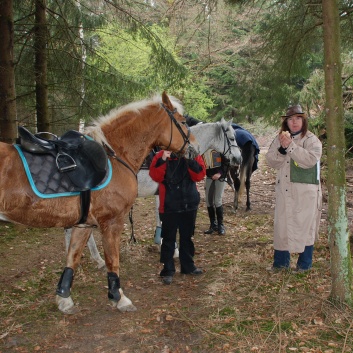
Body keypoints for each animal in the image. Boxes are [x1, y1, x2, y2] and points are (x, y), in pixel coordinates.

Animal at [0, 91, 198, 314]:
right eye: (183, 122)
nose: (195, 147)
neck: (116, 154)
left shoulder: (84, 224)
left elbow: (73, 257)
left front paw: (64, 298)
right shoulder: (112, 222)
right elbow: (113, 261)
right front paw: (119, 297)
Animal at [66, 118, 242, 264]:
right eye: (232, 138)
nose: (238, 159)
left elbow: (160, 217)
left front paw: (161, 243)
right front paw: (173, 250)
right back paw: (95, 259)